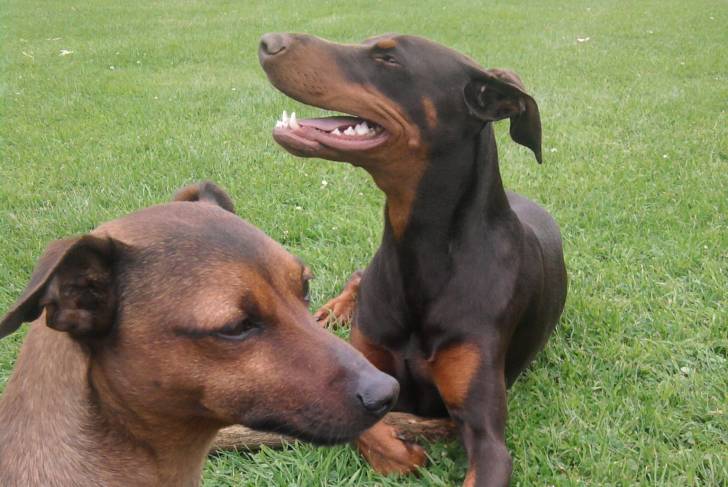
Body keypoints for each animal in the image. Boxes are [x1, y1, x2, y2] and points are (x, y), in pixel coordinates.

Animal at [260, 33, 567, 486]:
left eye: (388, 59)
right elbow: (368, 429)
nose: (269, 42)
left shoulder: (487, 434)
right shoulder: (368, 371)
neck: (422, 251)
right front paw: (403, 451)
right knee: (358, 275)